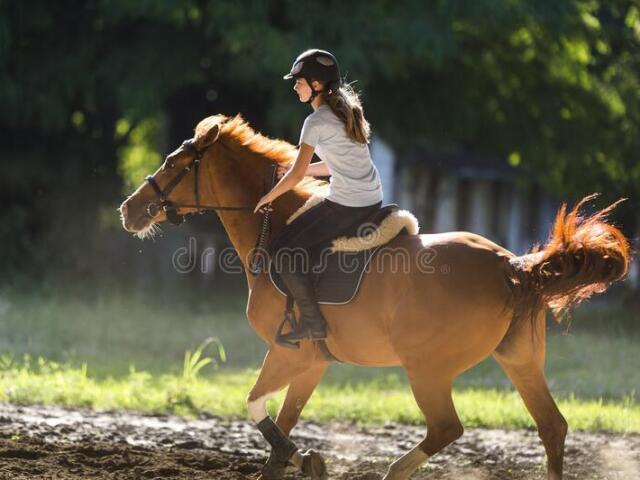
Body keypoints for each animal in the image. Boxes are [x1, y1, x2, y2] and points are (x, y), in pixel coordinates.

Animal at [119, 113, 632, 480]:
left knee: (447, 428)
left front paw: (303, 458)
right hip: (519, 360)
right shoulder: (313, 361)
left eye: (173, 164)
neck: (274, 225)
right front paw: (299, 460)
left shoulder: (289, 354)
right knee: (552, 427)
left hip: (427, 370)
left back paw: (394, 471)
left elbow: (255, 406)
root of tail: (512, 267)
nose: (129, 209)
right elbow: (282, 422)